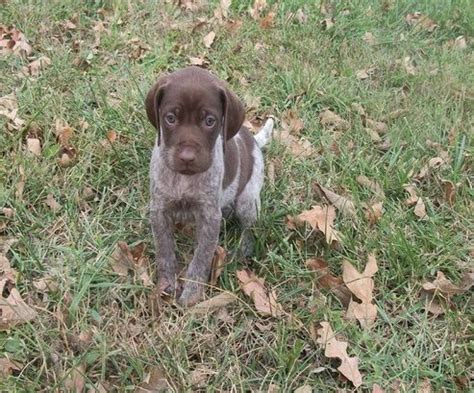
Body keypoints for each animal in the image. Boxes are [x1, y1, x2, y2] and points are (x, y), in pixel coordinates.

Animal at [144, 66, 272, 306]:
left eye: (210, 121)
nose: (186, 157)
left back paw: (244, 248)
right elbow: (164, 250)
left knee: (249, 227)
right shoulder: (159, 210)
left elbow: (201, 257)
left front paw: (192, 294)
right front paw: (167, 283)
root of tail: (253, 141)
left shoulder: (209, 217)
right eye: (170, 118)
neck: (185, 179)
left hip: (248, 199)